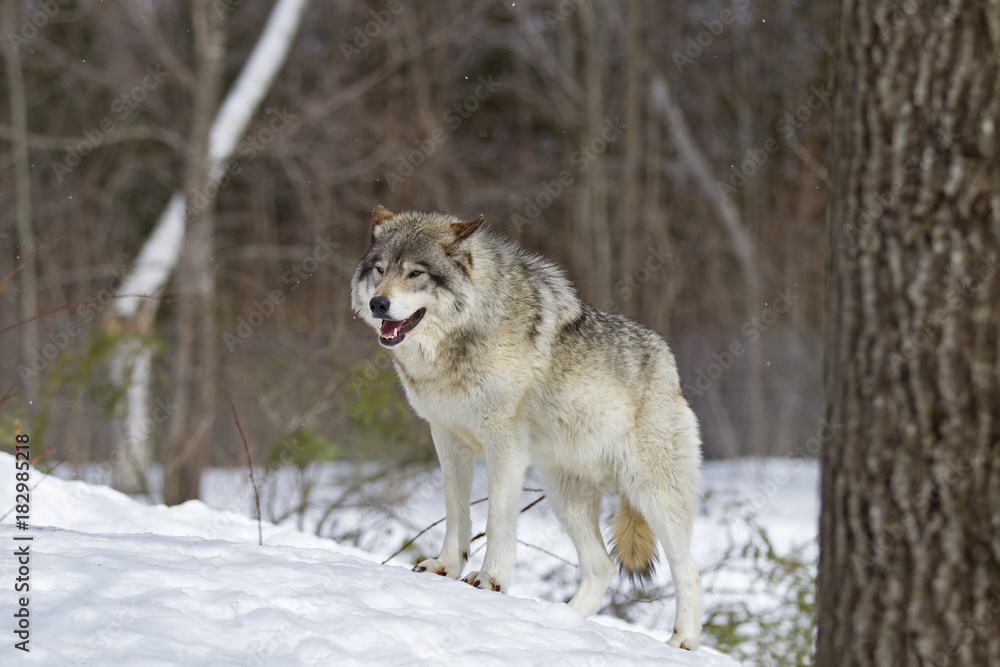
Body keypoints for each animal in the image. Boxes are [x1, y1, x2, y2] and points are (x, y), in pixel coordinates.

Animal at [350, 206, 703, 650]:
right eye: (380, 270)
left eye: (416, 273)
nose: (379, 303)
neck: (464, 337)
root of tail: (672, 369)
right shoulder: (447, 440)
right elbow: (456, 513)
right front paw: (445, 567)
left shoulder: (503, 443)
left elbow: (497, 519)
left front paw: (490, 580)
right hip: (564, 497)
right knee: (601, 566)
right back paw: (559, 624)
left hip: (651, 494)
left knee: (688, 572)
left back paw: (681, 643)